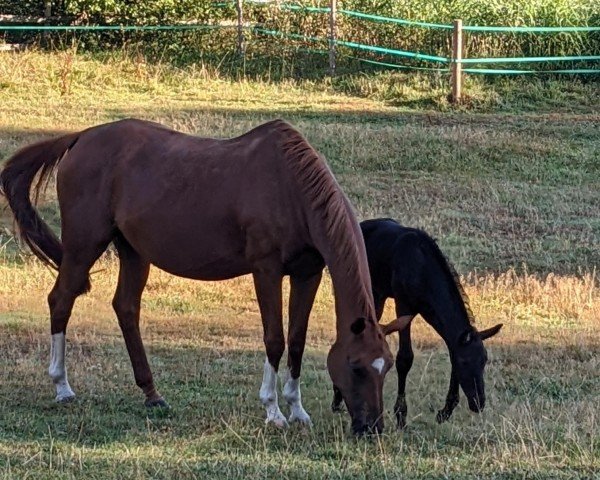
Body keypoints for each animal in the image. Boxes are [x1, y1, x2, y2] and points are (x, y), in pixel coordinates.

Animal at [0, 118, 408, 434]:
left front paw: (298, 411)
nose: (372, 427)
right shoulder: (266, 270)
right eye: (355, 367)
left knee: (126, 308)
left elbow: (297, 341)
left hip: (133, 251)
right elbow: (274, 339)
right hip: (84, 245)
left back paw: (152, 394)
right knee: (61, 300)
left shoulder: (307, 273)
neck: (291, 189)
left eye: (386, 366)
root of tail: (80, 137)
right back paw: (62, 387)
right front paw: (273, 411)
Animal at [330, 218, 504, 428]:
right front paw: (401, 415)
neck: (424, 271)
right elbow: (405, 358)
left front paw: (446, 410)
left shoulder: (431, 313)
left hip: (380, 293)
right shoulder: (403, 304)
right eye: (465, 361)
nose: (478, 402)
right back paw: (338, 396)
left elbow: (451, 347)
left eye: (484, 360)